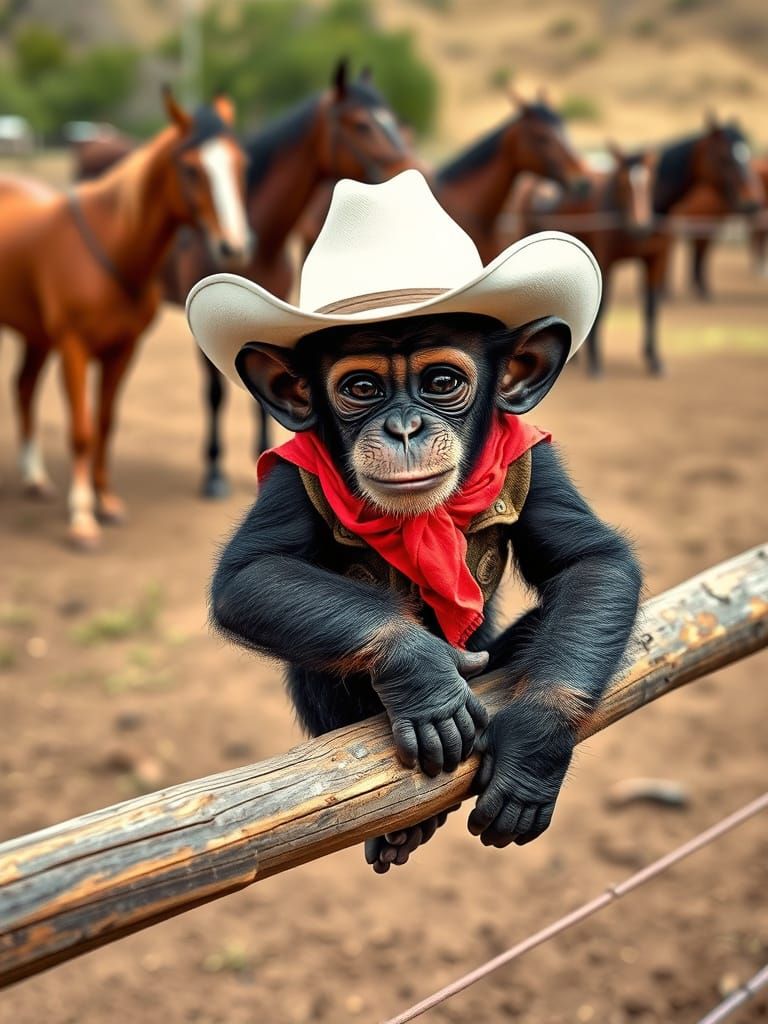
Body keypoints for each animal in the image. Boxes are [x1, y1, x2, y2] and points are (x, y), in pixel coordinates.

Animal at [208, 311, 642, 872]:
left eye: (441, 383)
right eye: (362, 389)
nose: (404, 427)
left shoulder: (533, 455)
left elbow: (591, 561)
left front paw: (534, 745)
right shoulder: (291, 471)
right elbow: (250, 572)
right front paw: (422, 675)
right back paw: (405, 827)